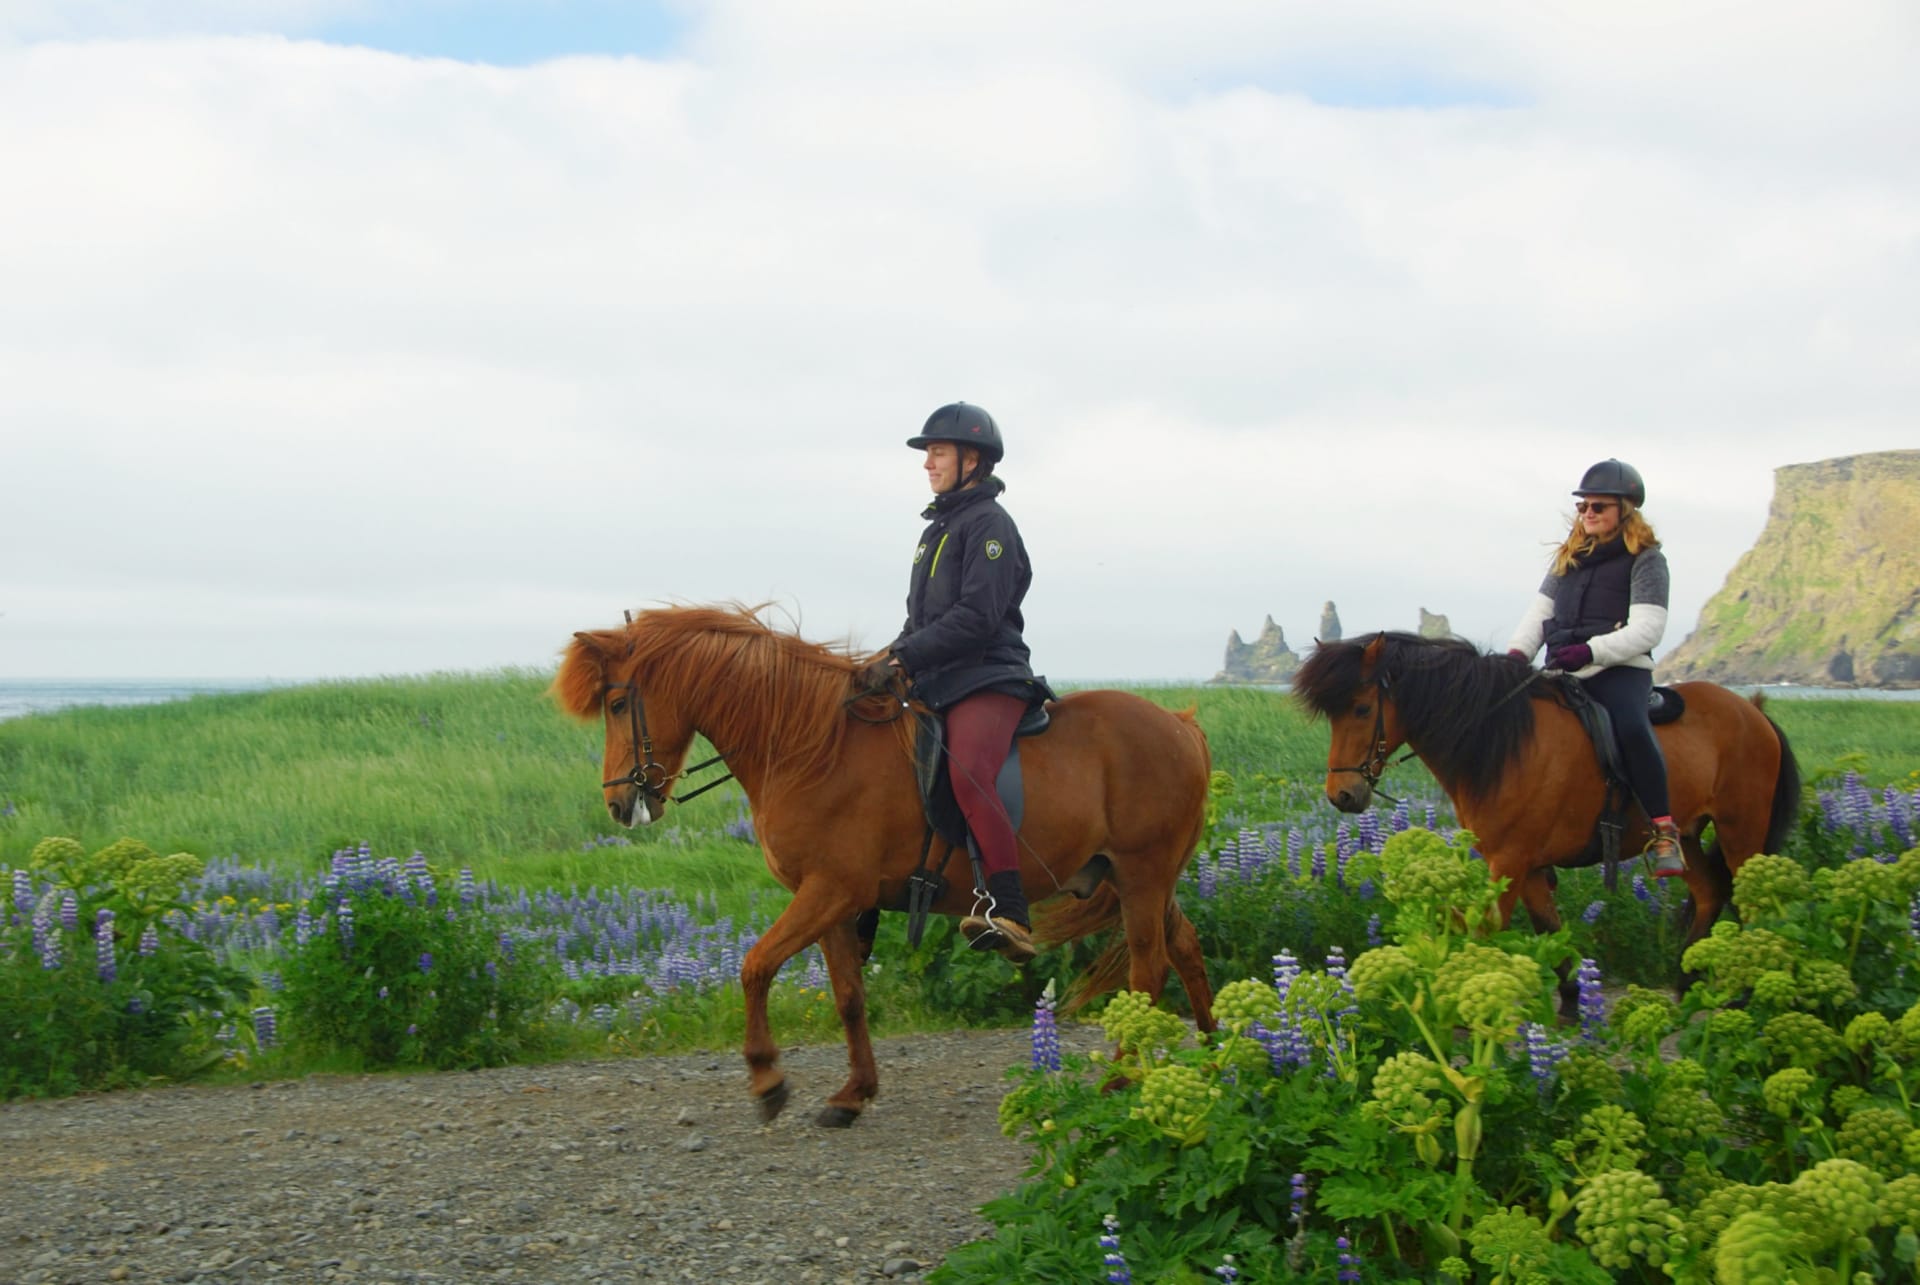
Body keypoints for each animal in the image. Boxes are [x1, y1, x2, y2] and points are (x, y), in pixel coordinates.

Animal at [552, 603, 1213, 1121]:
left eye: (617, 703)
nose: (618, 803)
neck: (813, 748)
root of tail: (1180, 726)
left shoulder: (830, 890)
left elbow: (755, 966)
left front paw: (767, 1078)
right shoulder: (835, 904)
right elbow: (848, 995)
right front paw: (854, 1092)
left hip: (1141, 876)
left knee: (1149, 971)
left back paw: (1123, 1079)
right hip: (1136, 880)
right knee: (1185, 947)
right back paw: (1216, 1054)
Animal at [1290, 630, 1797, 983]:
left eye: (1361, 709)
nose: (1342, 795)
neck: (1504, 743)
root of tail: (1753, 711)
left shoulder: (1510, 862)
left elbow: (1483, 932)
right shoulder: (1527, 866)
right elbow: (1552, 937)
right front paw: (1570, 1008)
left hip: (1741, 832)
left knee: (1751, 907)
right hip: (1688, 835)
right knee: (1710, 893)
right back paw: (1686, 979)